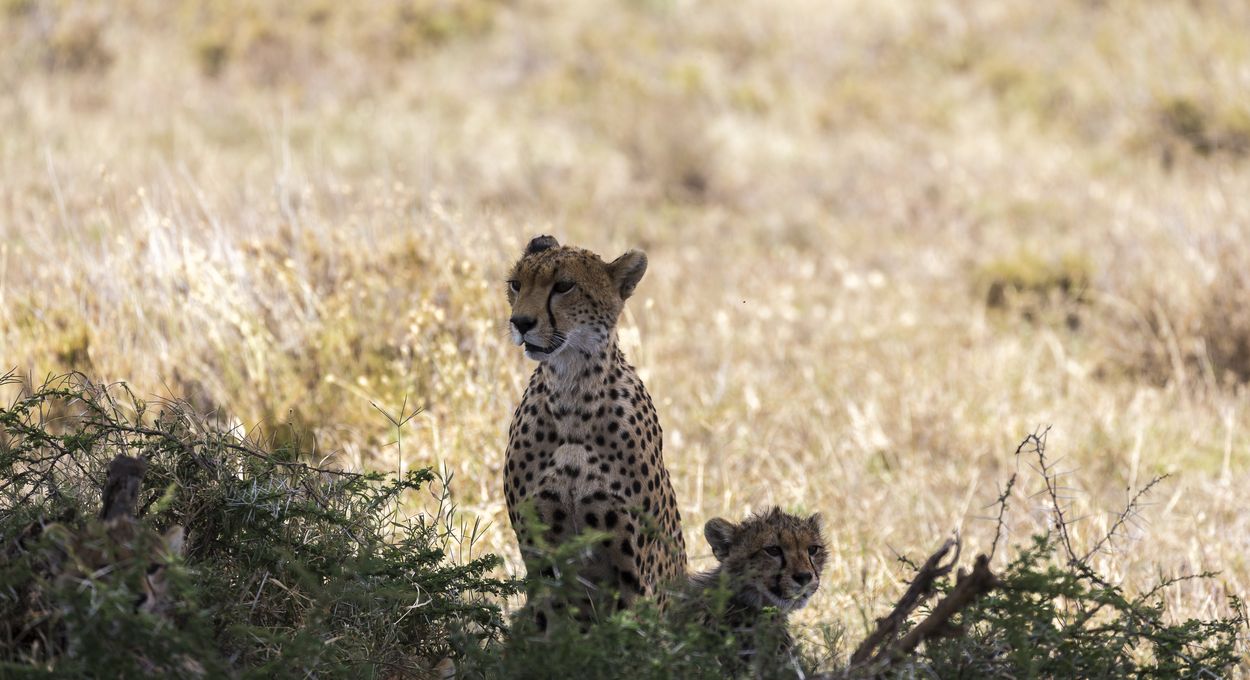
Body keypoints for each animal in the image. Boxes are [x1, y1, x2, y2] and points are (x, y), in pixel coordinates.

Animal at [502, 235, 686, 627]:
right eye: (516, 284)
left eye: (564, 286)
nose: (520, 322)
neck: (572, 396)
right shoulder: (542, 558)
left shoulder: (631, 571)